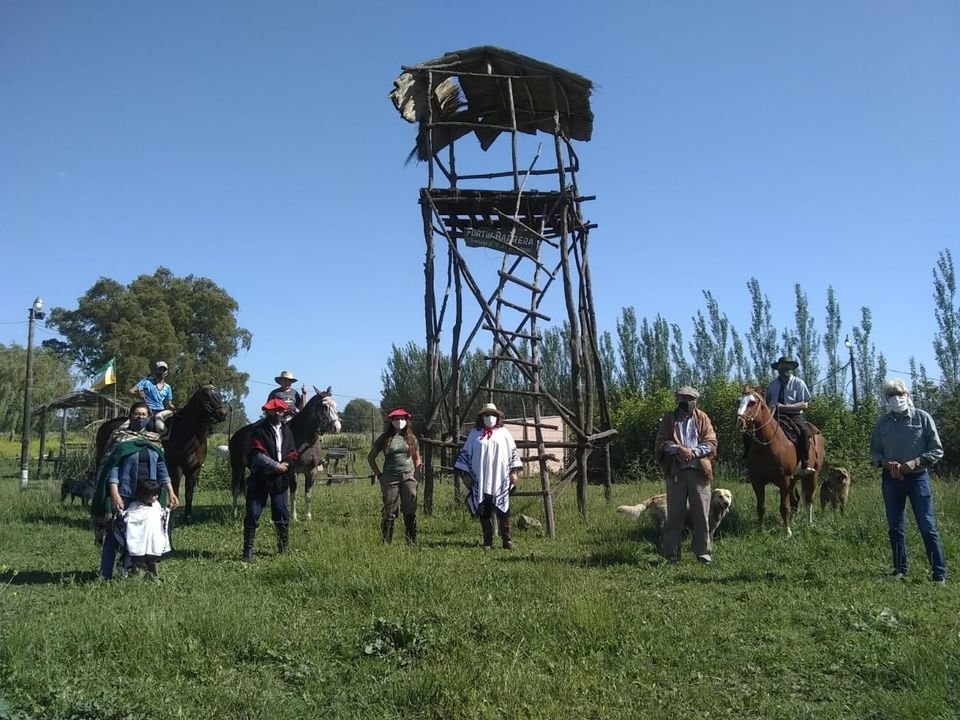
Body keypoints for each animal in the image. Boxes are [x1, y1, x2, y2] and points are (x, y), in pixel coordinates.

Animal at [96, 386, 229, 520]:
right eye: (207, 396)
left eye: (219, 394)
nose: (223, 413)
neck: (190, 435)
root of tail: (104, 425)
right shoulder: (176, 468)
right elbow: (175, 491)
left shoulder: (194, 469)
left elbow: (189, 494)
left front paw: (188, 517)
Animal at [229, 386, 342, 520]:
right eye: (325, 406)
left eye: (335, 404)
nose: (337, 427)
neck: (305, 440)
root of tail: (236, 435)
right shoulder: (293, 472)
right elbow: (293, 494)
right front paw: (294, 517)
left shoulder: (311, 471)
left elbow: (308, 495)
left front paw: (308, 516)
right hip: (238, 467)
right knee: (236, 489)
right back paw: (234, 513)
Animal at [736, 388, 824, 536]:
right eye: (739, 401)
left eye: (752, 402)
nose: (740, 422)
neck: (768, 443)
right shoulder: (757, 481)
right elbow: (761, 507)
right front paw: (761, 530)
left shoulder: (784, 480)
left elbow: (784, 507)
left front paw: (787, 532)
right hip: (794, 479)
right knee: (796, 500)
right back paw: (794, 522)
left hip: (813, 475)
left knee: (809, 499)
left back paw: (809, 523)